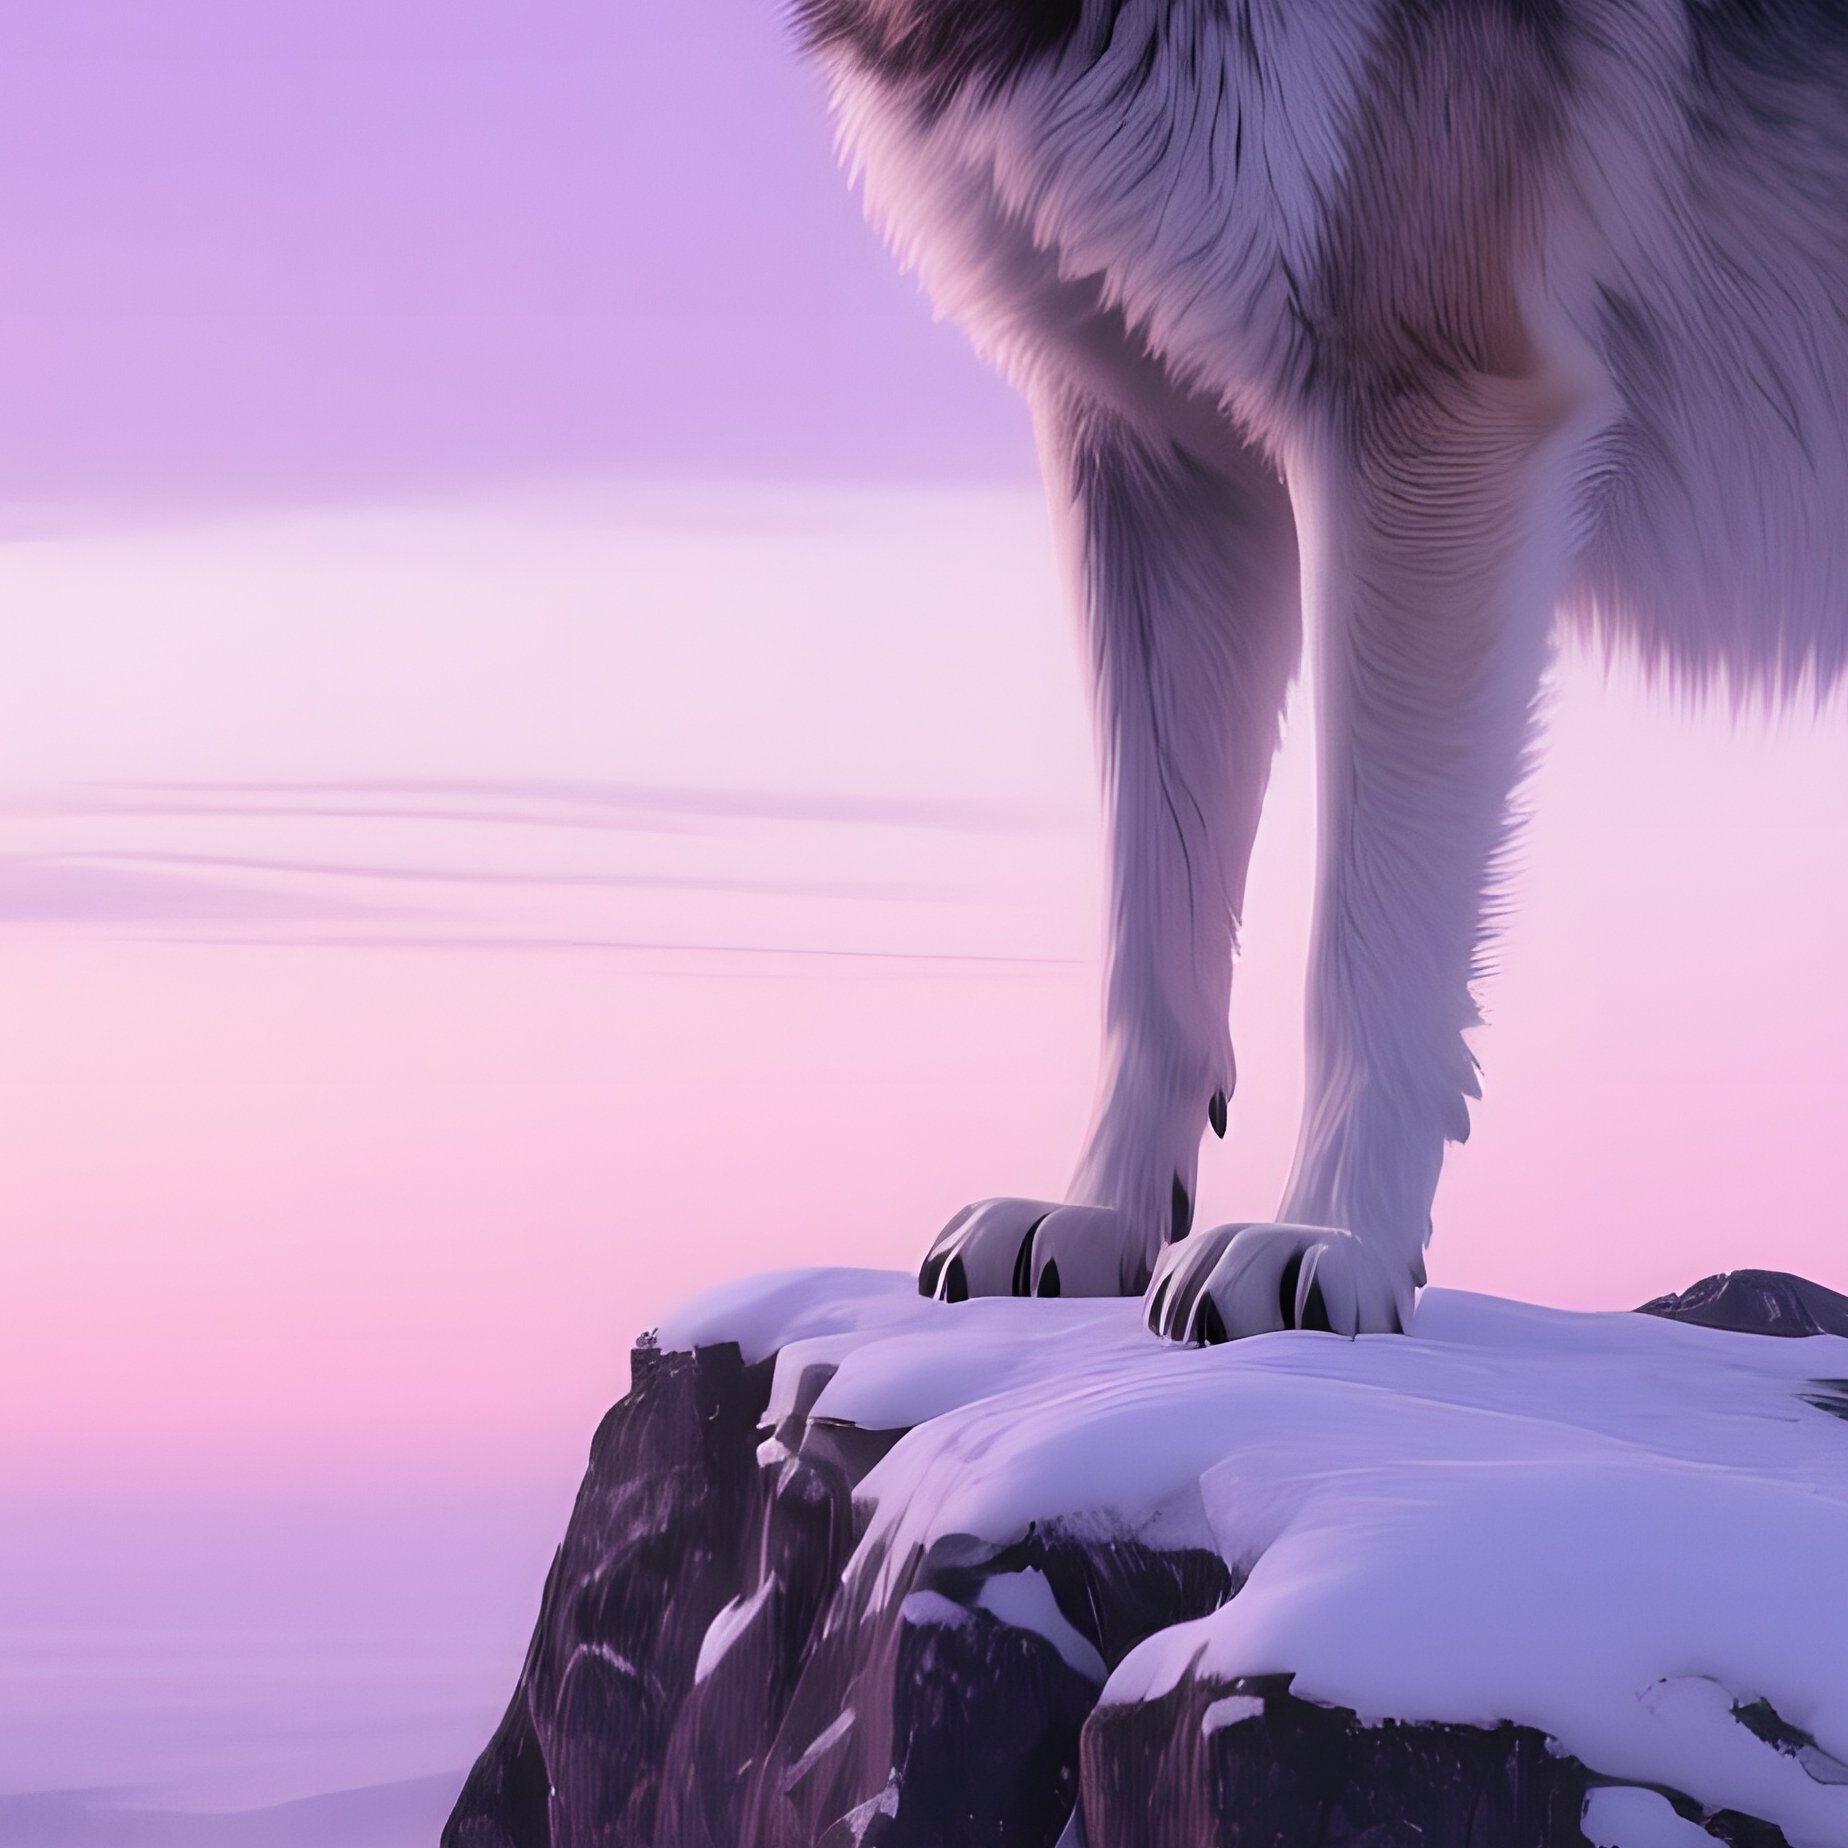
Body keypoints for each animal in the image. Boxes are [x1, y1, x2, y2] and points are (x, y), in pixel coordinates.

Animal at [796, 0, 1848, 1340]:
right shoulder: (1151, 438)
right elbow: (1151, 922)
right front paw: (1097, 1217)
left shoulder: (1431, 397)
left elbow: (1365, 933)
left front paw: (1328, 1239)